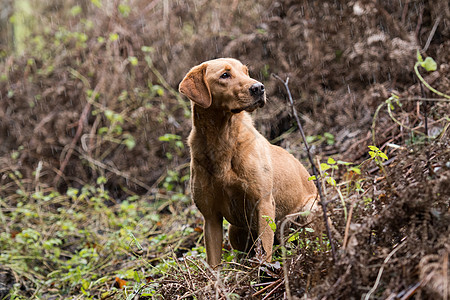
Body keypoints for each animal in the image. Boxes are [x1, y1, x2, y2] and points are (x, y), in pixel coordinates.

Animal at [178, 58, 318, 268]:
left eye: (246, 72)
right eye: (225, 75)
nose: (259, 88)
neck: (221, 139)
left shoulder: (264, 204)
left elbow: (265, 251)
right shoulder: (210, 218)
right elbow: (214, 264)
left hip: (307, 211)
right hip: (234, 230)